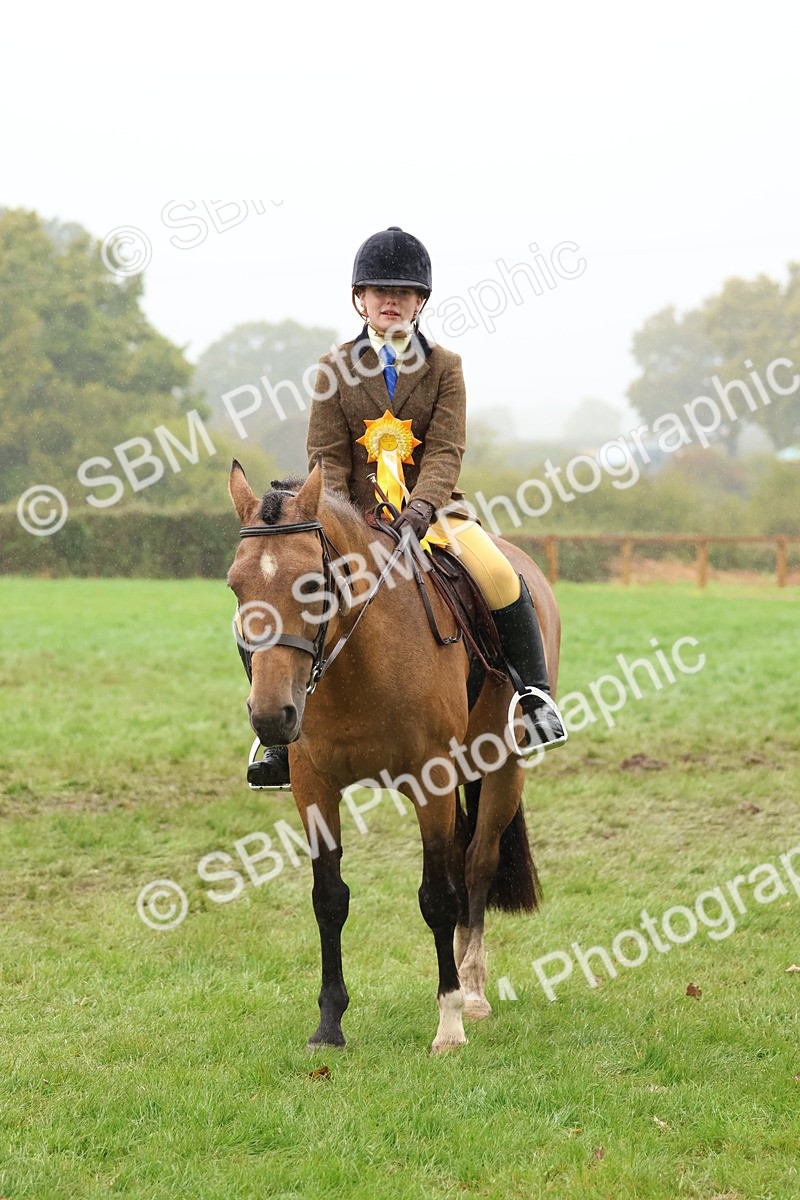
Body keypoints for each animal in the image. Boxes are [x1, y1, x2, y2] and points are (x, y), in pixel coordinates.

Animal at [227, 461, 562, 1054]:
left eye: (310, 583)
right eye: (235, 585)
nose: (271, 717)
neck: (358, 660)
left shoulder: (432, 784)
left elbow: (437, 896)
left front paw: (449, 1023)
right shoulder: (315, 789)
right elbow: (329, 898)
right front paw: (329, 1025)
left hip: (503, 767)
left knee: (476, 864)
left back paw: (473, 991)